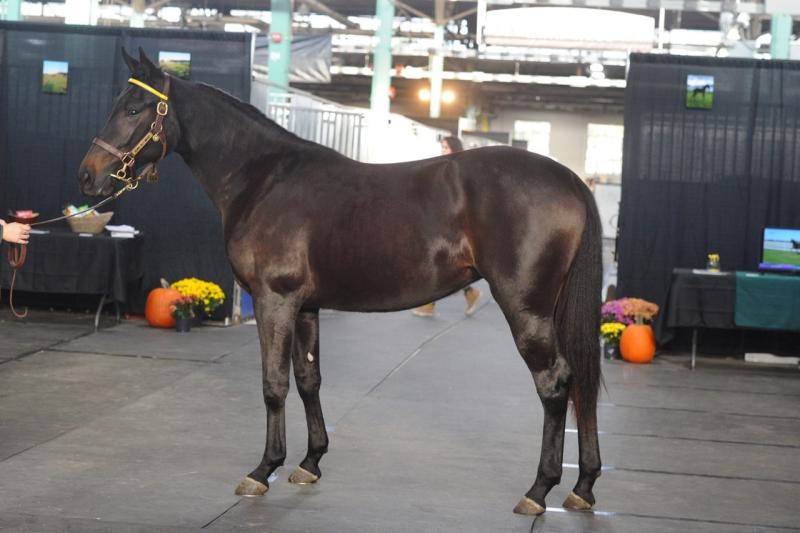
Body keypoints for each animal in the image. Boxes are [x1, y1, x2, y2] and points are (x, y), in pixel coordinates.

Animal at [78, 51, 604, 516]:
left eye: (132, 108)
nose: (88, 177)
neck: (264, 179)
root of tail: (571, 182)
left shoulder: (274, 301)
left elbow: (274, 384)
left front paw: (262, 470)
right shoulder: (306, 306)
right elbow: (309, 379)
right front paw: (309, 462)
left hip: (526, 308)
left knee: (556, 383)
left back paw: (539, 490)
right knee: (581, 383)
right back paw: (583, 487)